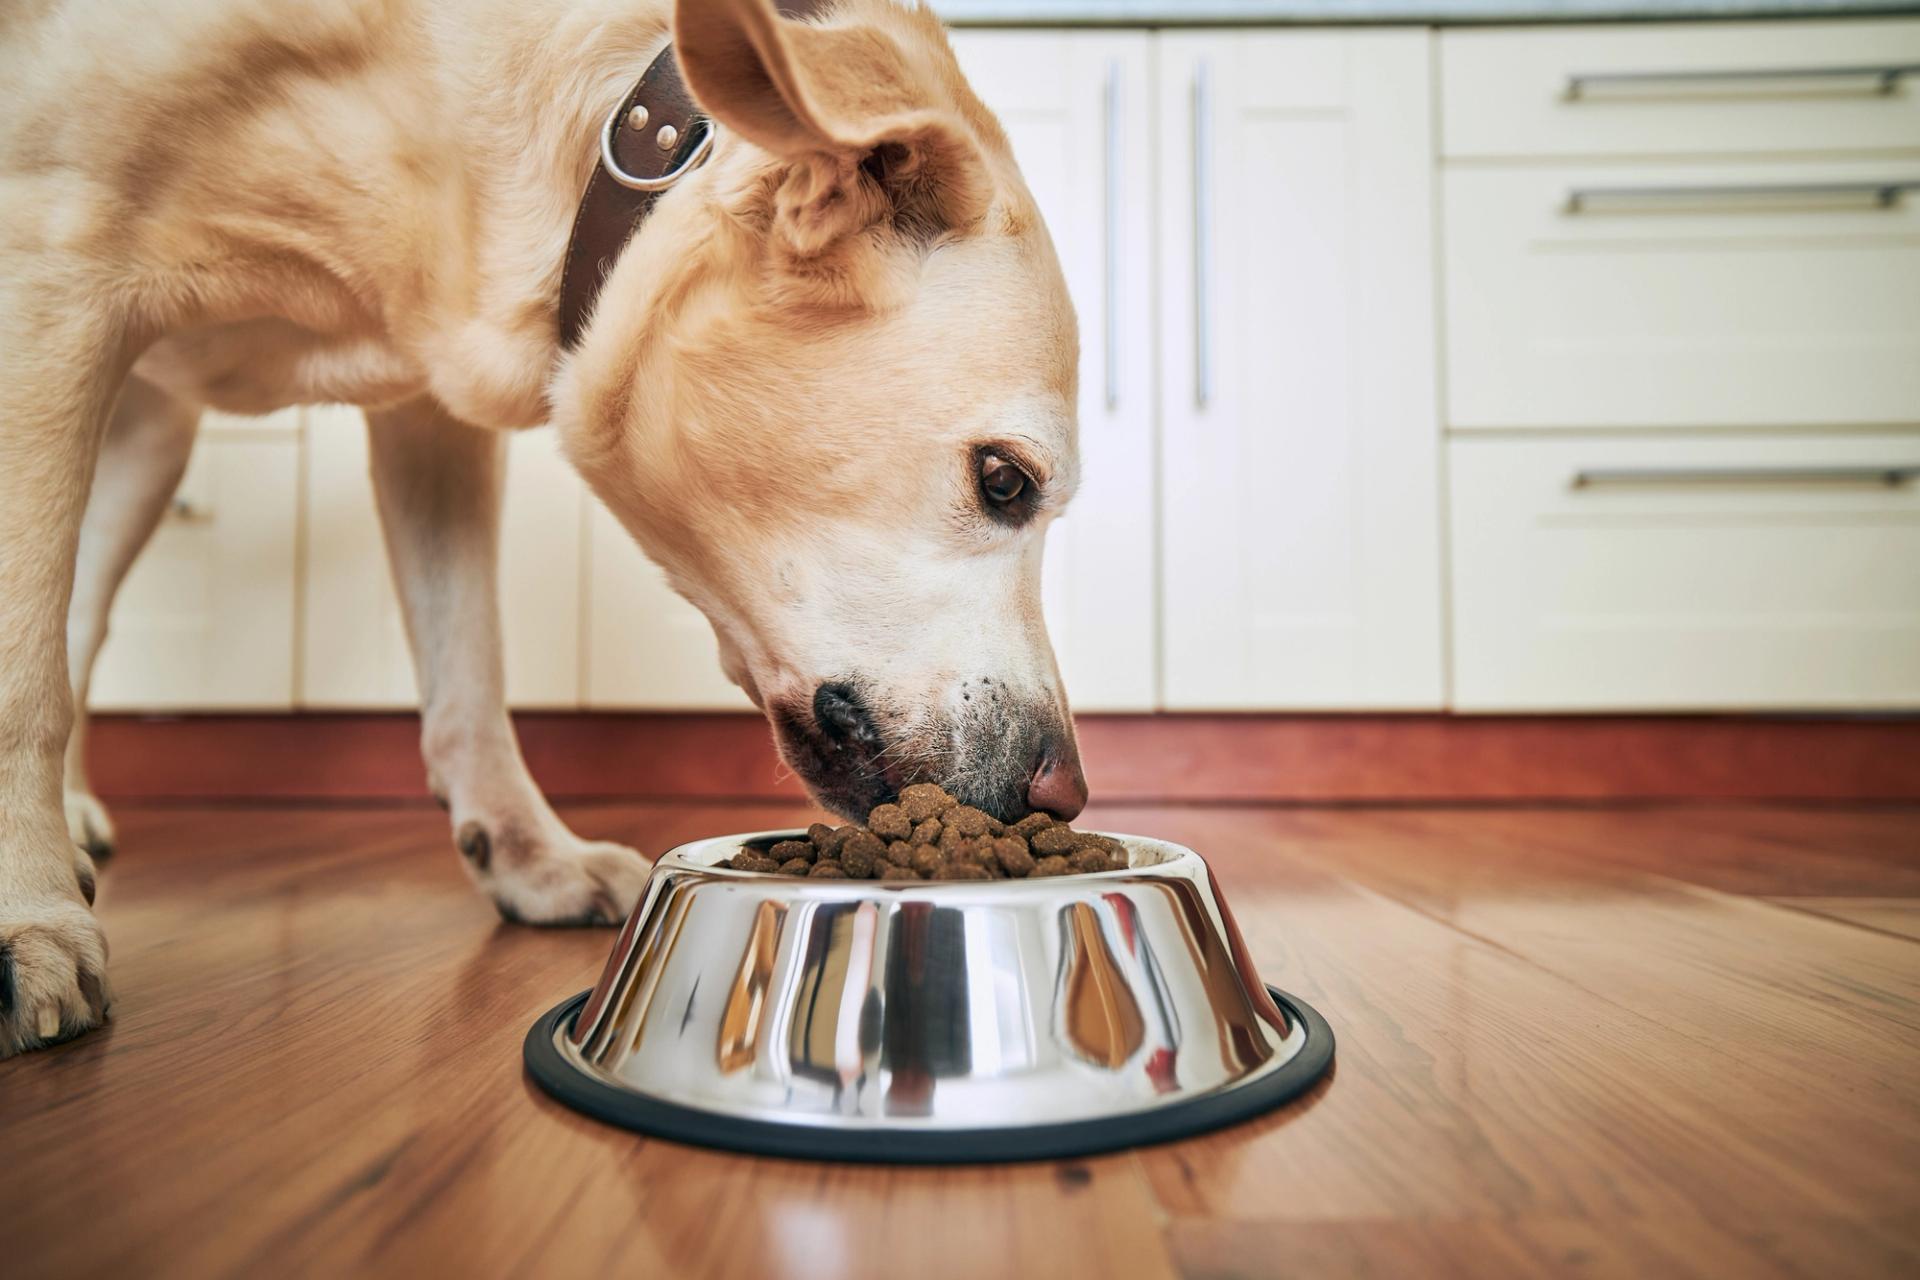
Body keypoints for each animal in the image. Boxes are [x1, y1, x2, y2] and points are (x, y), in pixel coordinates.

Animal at [0, 0, 1082, 1059]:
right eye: (1004, 480)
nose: (1067, 793)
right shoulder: (46, 272)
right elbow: (21, 672)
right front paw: (29, 919)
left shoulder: (431, 416)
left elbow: (470, 670)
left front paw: (527, 853)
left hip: (148, 440)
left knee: (84, 611)